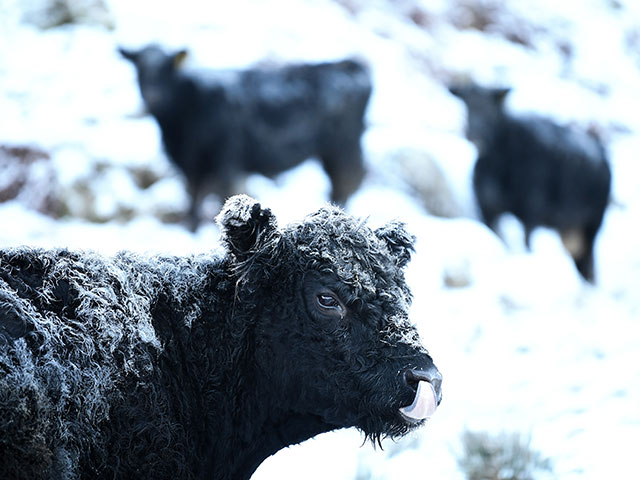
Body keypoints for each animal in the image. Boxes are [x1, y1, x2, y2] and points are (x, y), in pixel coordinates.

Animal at [119, 45, 376, 231]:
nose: (153, 96)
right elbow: (192, 202)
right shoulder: (193, 167)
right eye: (139, 70)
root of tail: (349, 64)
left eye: (168, 70)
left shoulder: (226, 161)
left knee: (346, 183)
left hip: (344, 148)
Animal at [448, 84, 612, 284]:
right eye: (467, 106)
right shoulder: (487, 208)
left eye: (491, 110)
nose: (473, 134)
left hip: (593, 223)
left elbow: (526, 243)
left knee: (588, 260)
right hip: (571, 230)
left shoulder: (532, 210)